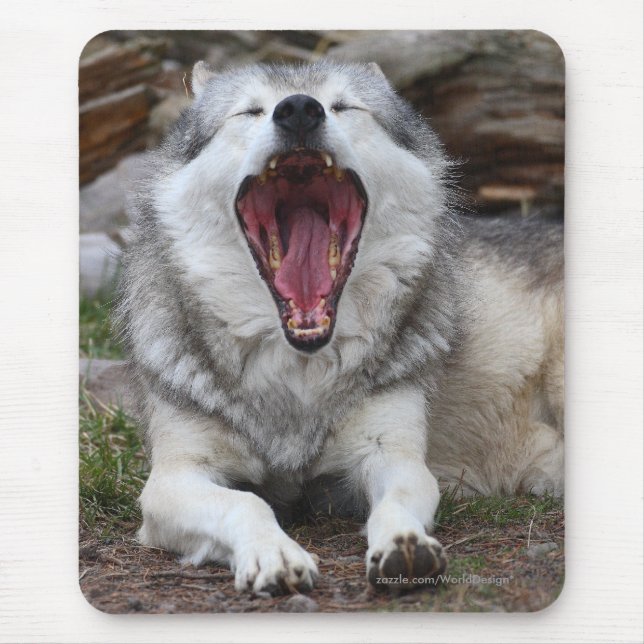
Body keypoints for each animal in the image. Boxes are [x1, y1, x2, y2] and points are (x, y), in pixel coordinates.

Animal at [117, 60, 564, 596]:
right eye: (250, 111)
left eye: (343, 106)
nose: (298, 109)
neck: (298, 373)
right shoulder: (171, 480)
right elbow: (248, 502)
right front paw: (273, 554)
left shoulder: (393, 455)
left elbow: (396, 502)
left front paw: (404, 546)